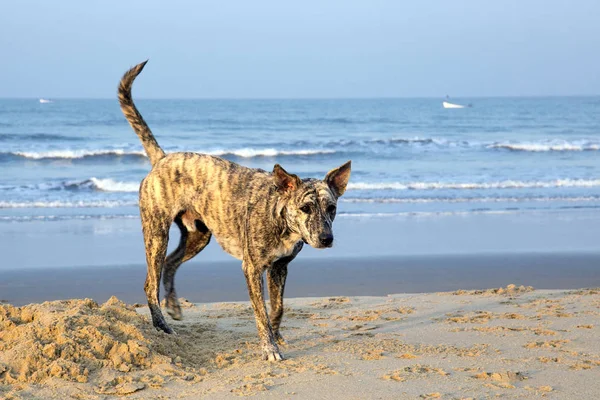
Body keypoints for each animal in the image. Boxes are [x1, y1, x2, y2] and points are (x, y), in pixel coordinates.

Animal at [118, 60, 352, 362]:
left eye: (332, 208)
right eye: (305, 208)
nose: (326, 239)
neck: (277, 214)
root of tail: (162, 159)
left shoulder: (279, 268)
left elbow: (278, 308)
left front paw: (277, 336)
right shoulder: (252, 269)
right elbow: (261, 312)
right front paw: (269, 348)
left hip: (198, 236)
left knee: (170, 263)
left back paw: (173, 306)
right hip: (157, 234)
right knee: (150, 283)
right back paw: (162, 326)